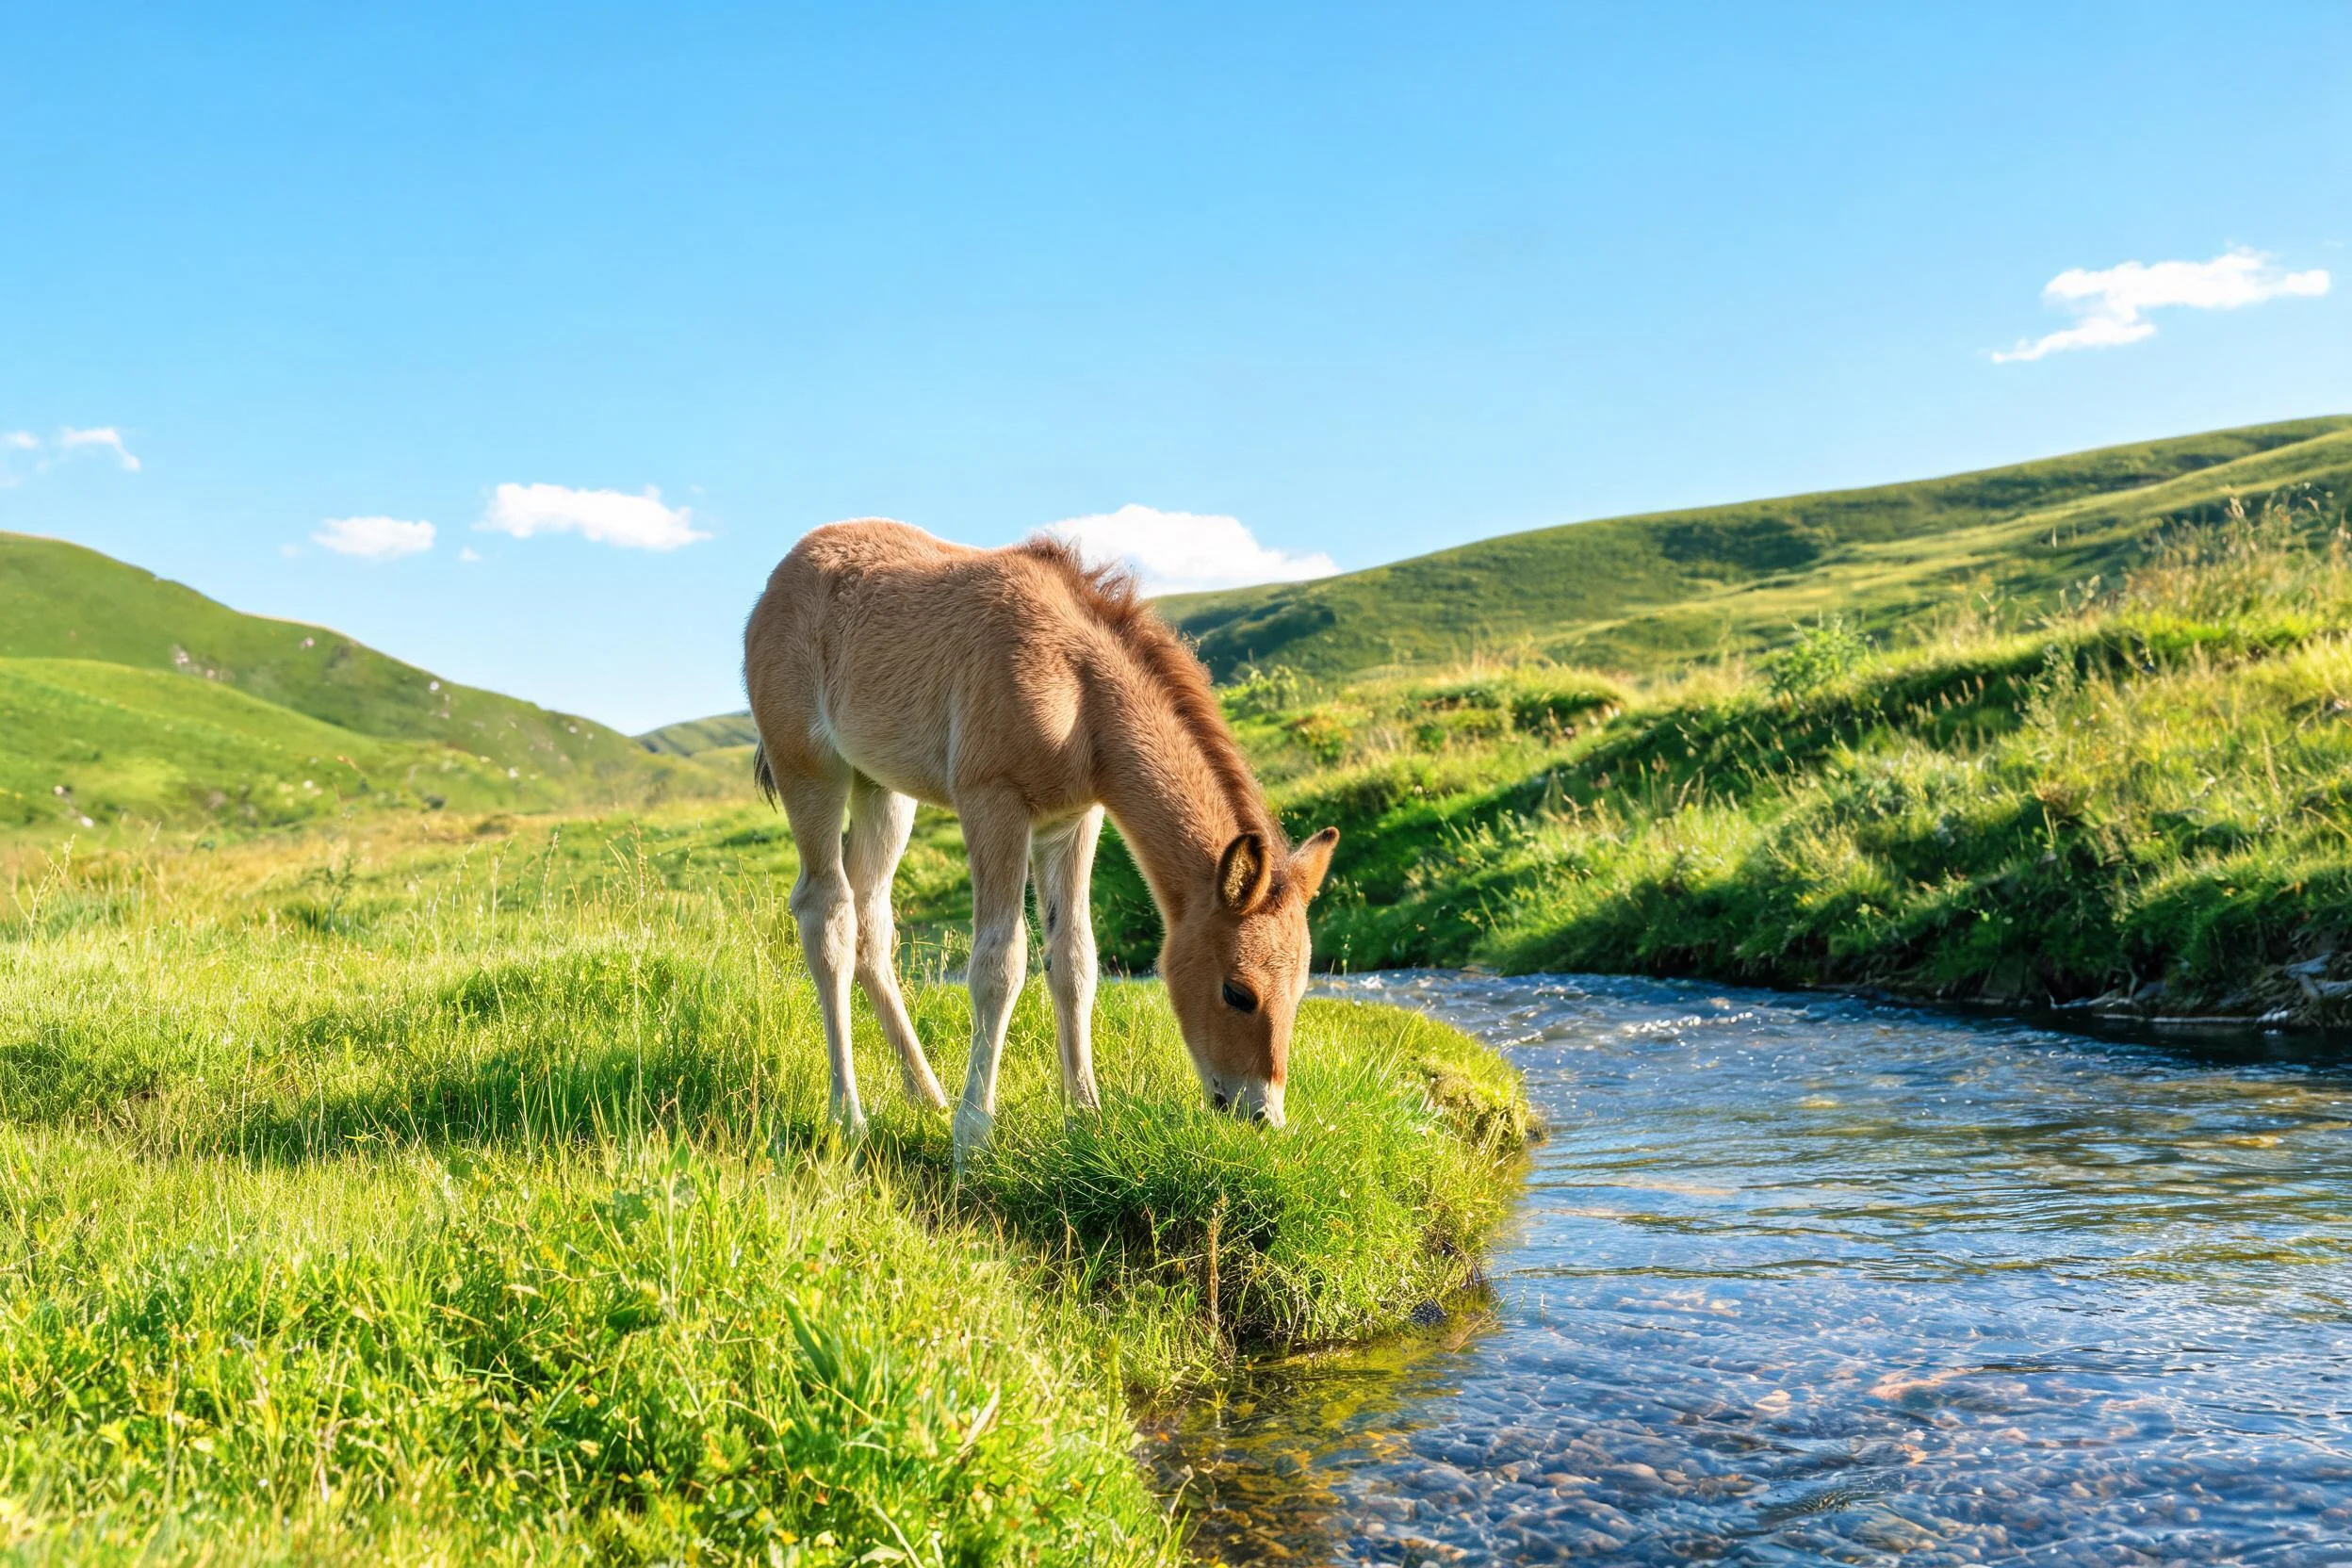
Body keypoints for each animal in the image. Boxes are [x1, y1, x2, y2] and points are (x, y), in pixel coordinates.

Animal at [743, 519, 1339, 1166]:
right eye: (1236, 992)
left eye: (1300, 992)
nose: (1261, 1117)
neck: (1078, 692)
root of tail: (774, 584)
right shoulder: (993, 803)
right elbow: (999, 964)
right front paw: (974, 1136)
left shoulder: (1073, 822)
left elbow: (1075, 960)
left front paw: (1085, 1117)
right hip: (810, 770)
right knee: (825, 910)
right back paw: (848, 1118)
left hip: (883, 790)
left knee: (870, 919)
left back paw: (926, 1094)